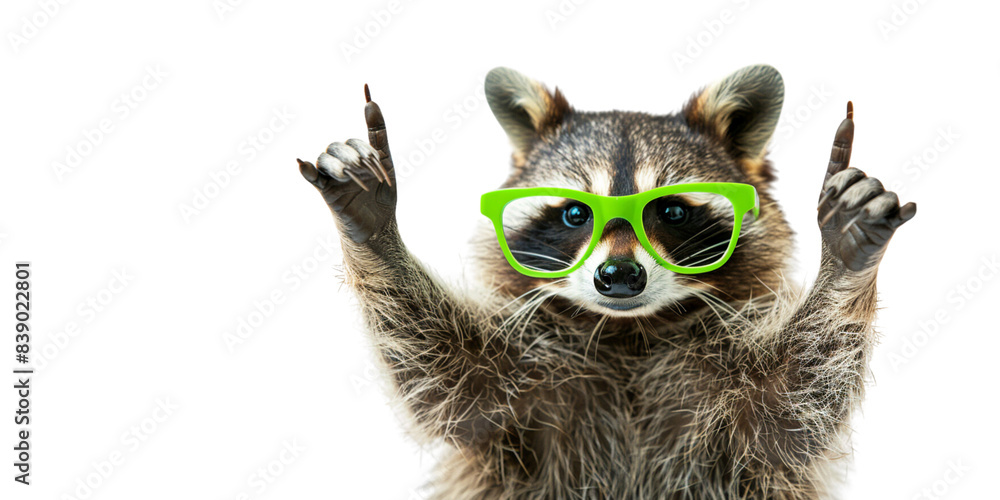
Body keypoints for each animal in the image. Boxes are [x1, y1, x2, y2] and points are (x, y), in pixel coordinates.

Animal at [297, 65, 916, 499]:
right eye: (576, 215)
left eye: (670, 212)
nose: (619, 277)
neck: (627, 335)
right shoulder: (524, 392)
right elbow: (450, 379)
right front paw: (375, 230)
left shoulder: (732, 408)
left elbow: (789, 403)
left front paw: (846, 256)